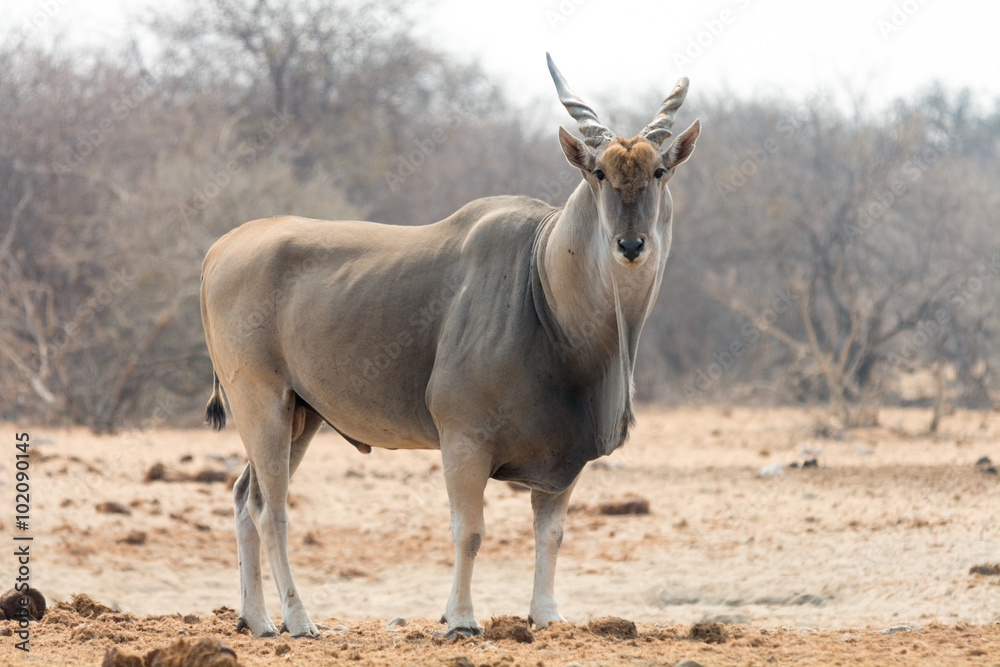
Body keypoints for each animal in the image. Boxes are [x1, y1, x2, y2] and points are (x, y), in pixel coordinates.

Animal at [200, 53, 700, 638]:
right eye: (598, 172)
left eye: (658, 171)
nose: (631, 244)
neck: (543, 284)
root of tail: (219, 249)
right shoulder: (464, 439)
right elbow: (471, 529)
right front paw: (460, 619)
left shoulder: (565, 461)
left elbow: (550, 534)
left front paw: (546, 614)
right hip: (263, 403)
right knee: (270, 509)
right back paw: (299, 621)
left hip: (302, 414)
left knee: (244, 497)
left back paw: (257, 620)